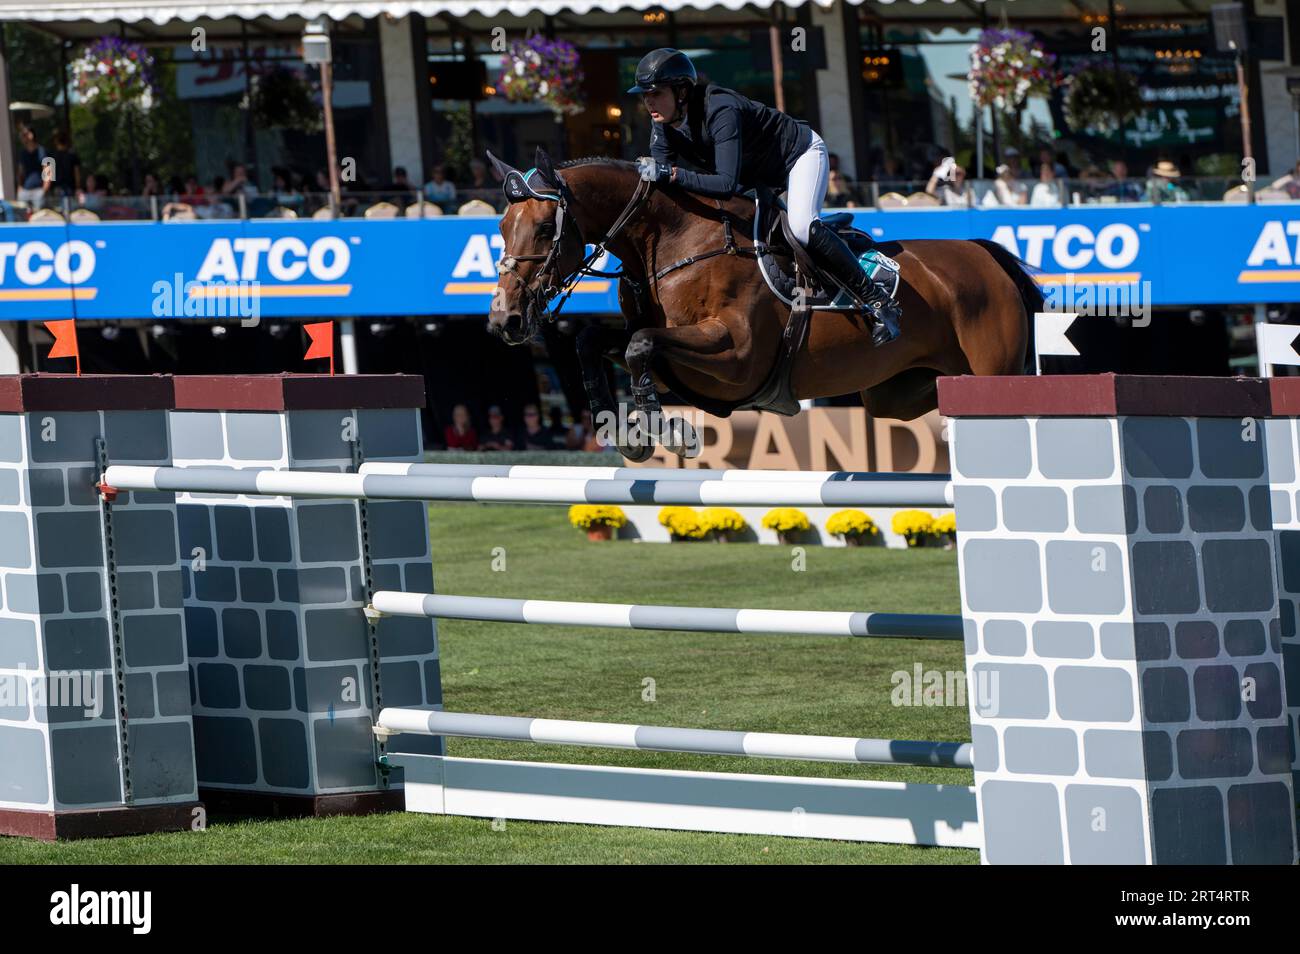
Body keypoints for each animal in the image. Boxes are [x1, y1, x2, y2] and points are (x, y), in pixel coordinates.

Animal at [483, 148, 1040, 462]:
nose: (504, 320)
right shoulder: (676, 357)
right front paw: (615, 424)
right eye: (501, 226)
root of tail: (985, 253)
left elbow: (640, 344)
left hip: (993, 372)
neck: (670, 242)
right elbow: (593, 340)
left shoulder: (737, 358)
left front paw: (661, 429)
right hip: (897, 392)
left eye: (542, 228)